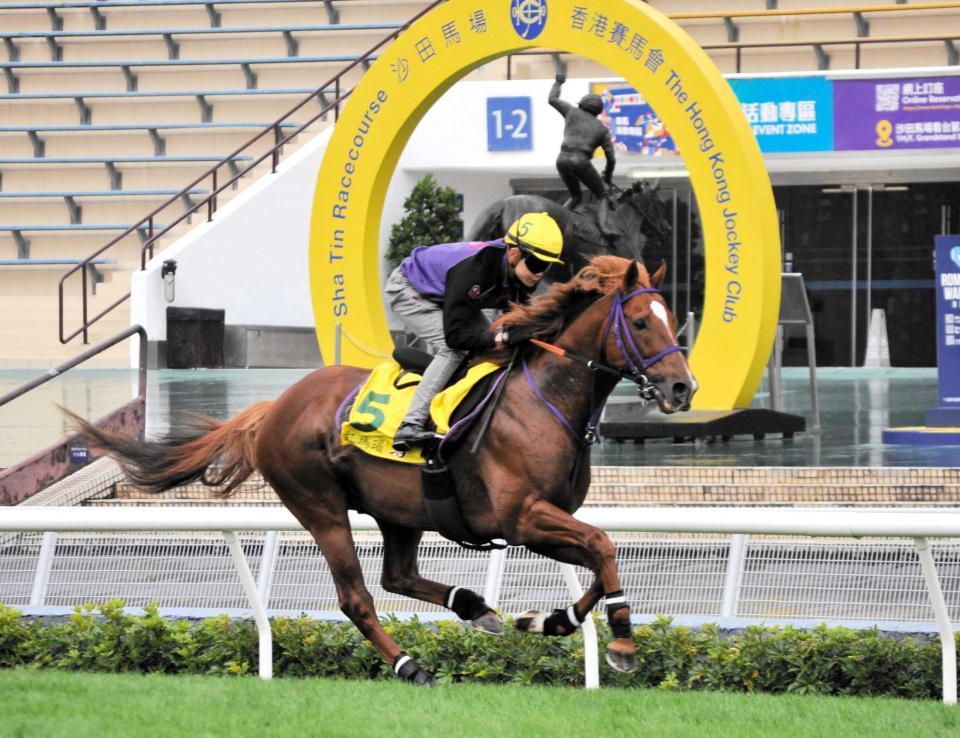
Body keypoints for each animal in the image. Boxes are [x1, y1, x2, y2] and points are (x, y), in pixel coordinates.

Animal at [66, 255, 697, 686]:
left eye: (671, 317)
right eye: (641, 322)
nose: (682, 389)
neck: (544, 399)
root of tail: (276, 406)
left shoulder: (548, 518)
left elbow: (597, 559)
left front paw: (553, 621)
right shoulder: (521, 518)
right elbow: (603, 546)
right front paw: (622, 647)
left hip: (402, 508)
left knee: (398, 575)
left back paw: (476, 608)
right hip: (320, 506)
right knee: (358, 596)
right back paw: (409, 663)